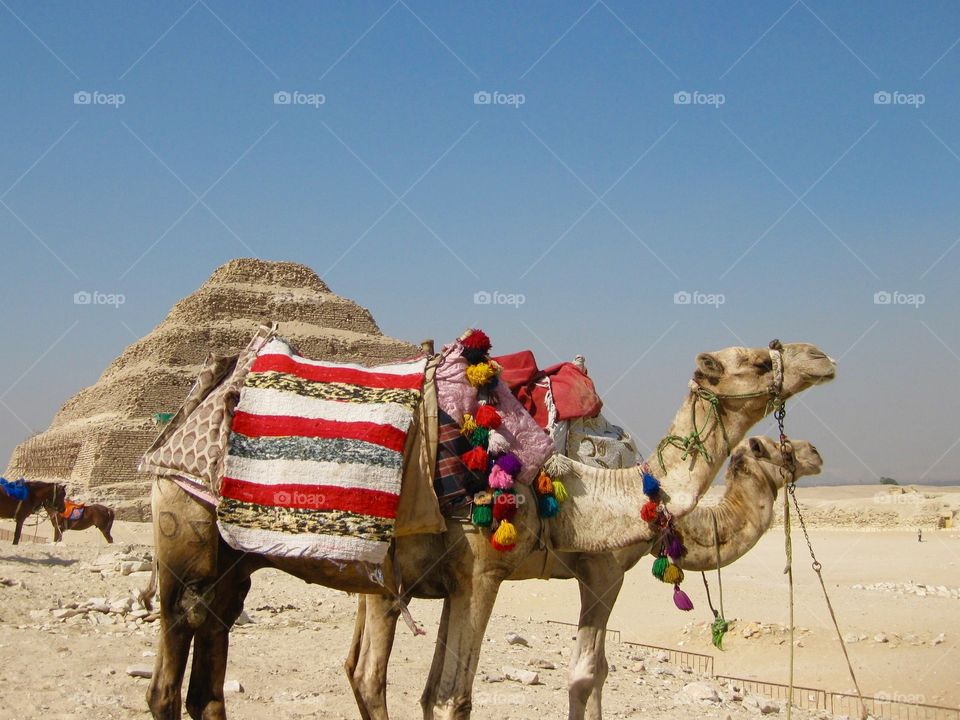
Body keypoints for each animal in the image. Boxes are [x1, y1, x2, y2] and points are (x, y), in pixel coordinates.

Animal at [145, 340, 835, 720]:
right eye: (755, 360)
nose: (820, 357)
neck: (610, 491)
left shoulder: (460, 579)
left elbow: (439, 694)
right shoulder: (518, 569)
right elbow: (479, 694)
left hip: (238, 563)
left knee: (214, 660)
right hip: (184, 531)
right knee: (174, 662)